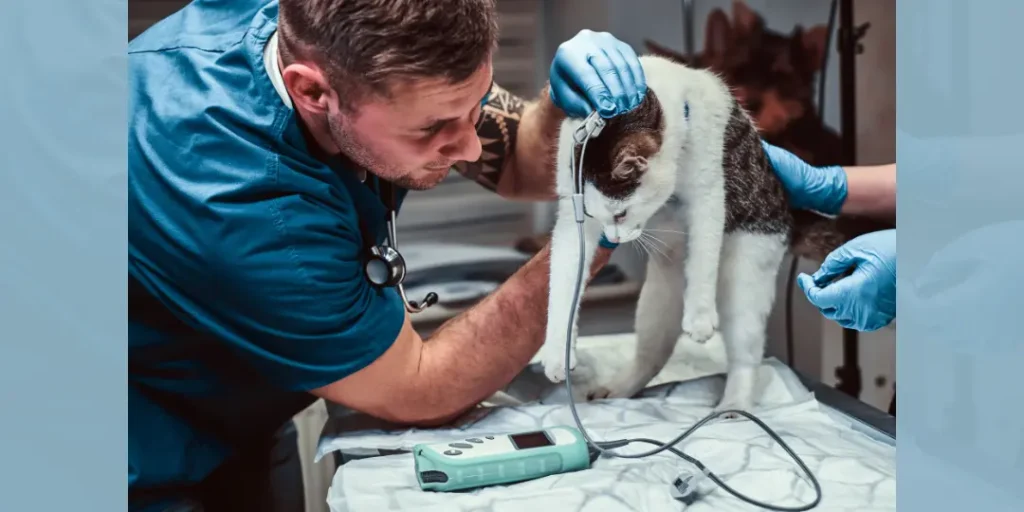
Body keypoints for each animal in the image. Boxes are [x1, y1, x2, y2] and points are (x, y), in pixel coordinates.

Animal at [540, 56, 860, 413]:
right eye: (592, 216)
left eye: (621, 214)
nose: (616, 238)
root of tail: (788, 212)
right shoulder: (571, 220)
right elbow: (562, 282)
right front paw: (557, 351)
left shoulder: (708, 193)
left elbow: (704, 255)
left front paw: (700, 317)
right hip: (656, 301)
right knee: (651, 355)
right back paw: (619, 388)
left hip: (746, 271)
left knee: (746, 354)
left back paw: (734, 403)